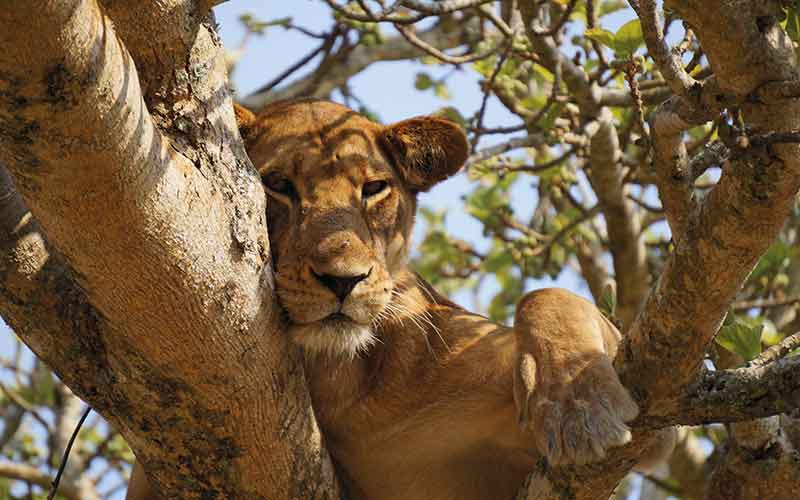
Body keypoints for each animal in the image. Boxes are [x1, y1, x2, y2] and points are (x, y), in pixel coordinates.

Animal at [128, 98, 664, 500]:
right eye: (277, 186)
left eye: (373, 188)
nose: (343, 280)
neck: (341, 382)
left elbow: (546, 296)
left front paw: (578, 403)